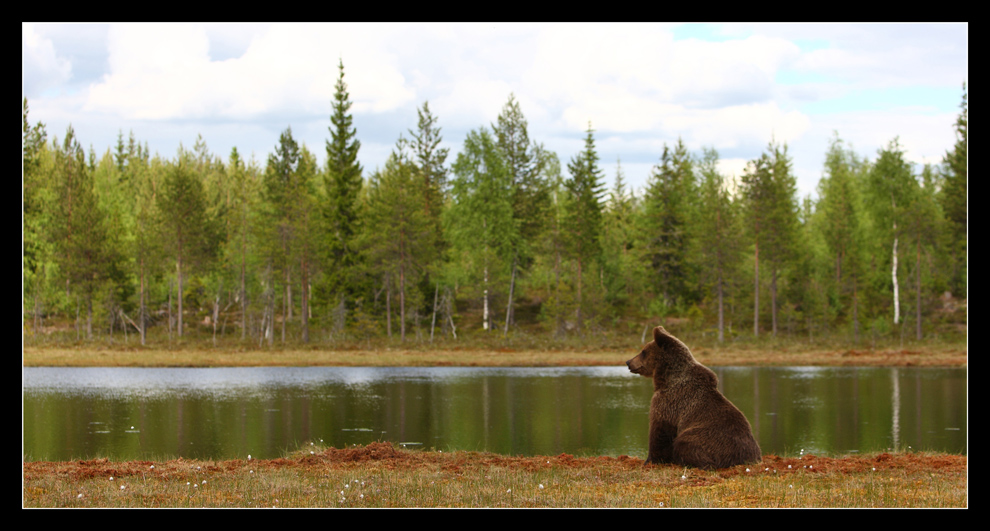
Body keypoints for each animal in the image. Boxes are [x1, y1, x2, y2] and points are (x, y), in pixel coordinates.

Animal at [628, 324, 768, 470]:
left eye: (643, 351)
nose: (628, 362)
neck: (667, 378)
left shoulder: (669, 402)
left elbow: (660, 430)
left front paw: (650, 460)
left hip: (705, 438)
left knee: (685, 445)